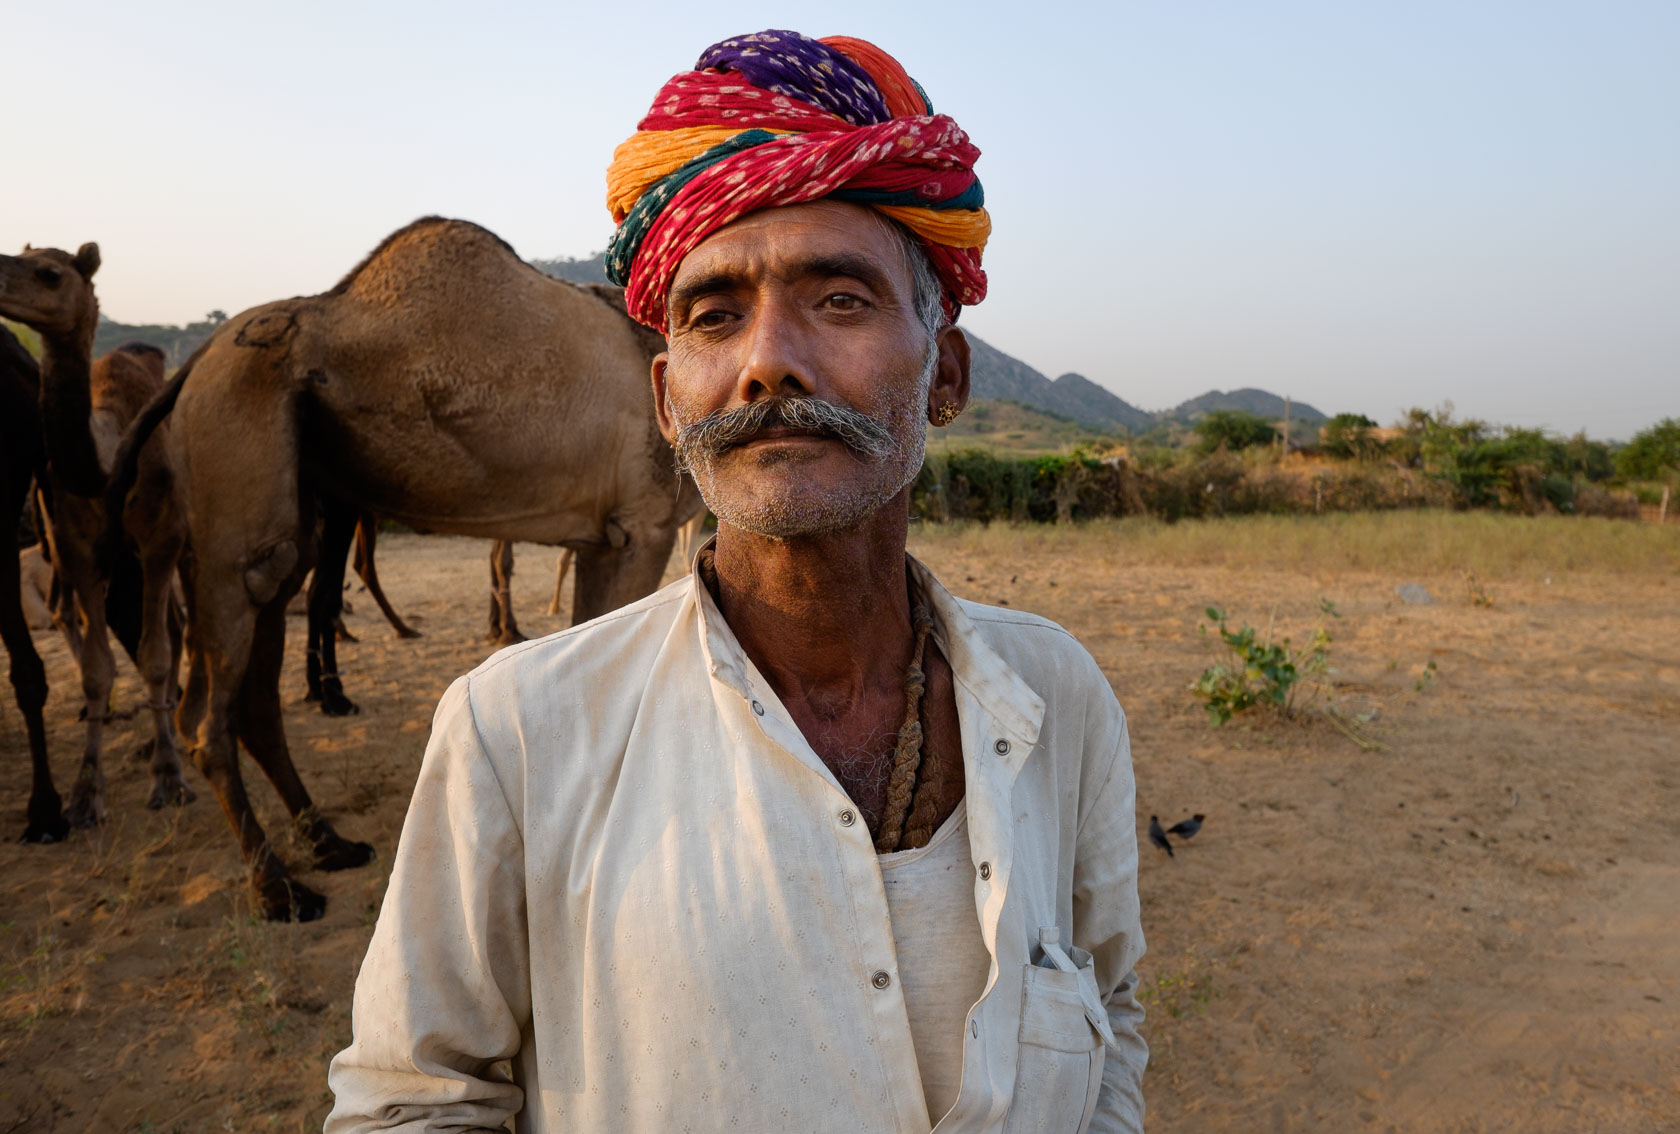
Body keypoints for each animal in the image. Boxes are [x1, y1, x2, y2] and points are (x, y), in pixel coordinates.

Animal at [0, 245, 195, 836]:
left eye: (50, 273)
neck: (108, 461)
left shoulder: (160, 539)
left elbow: (154, 656)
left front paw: (169, 778)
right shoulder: (77, 549)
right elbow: (95, 669)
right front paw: (84, 795)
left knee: (181, 627)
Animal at [107, 217, 703, 920]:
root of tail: (192, 366)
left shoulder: (601, 538)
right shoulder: (640, 524)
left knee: (258, 679)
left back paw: (330, 841)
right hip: (236, 463)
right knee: (211, 704)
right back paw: (278, 889)